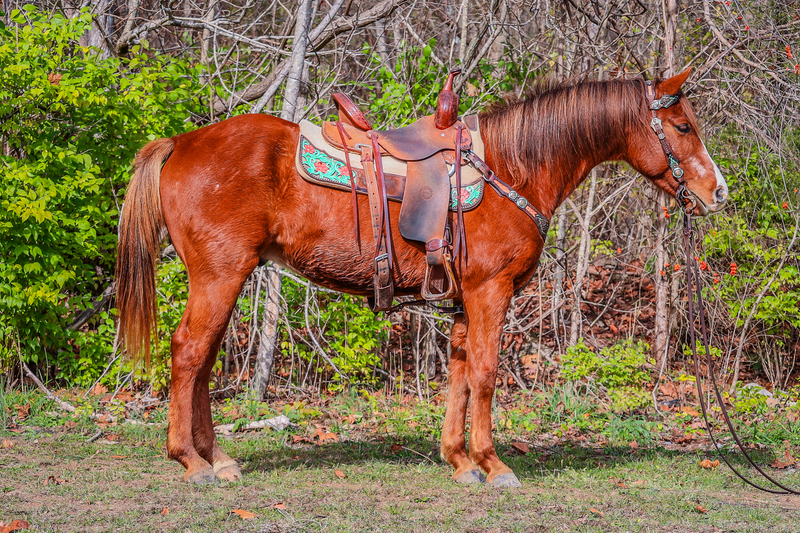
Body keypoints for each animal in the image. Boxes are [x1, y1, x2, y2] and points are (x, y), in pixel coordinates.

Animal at [115, 68, 728, 488]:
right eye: (682, 125)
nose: (717, 191)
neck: (512, 167)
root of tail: (181, 143)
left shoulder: (463, 299)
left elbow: (459, 374)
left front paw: (459, 461)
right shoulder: (490, 292)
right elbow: (485, 374)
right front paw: (493, 464)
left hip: (227, 278)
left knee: (202, 359)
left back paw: (217, 458)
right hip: (220, 275)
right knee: (188, 352)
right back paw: (191, 461)